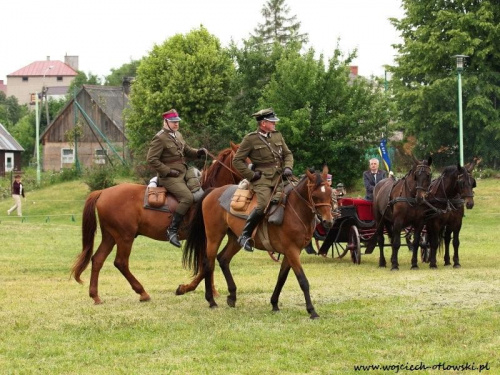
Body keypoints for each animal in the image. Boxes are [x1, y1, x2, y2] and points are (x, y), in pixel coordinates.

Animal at [71, 142, 244, 304]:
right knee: (121, 262)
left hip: (110, 236)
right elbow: (206, 264)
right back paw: (142, 292)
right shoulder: (204, 238)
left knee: (97, 259)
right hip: (124, 237)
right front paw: (186, 288)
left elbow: (207, 264)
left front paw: (211, 290)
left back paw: (95, 296)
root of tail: (103, 192)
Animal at [182, 170, 334, 320]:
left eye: (329, 193)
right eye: (315, 196)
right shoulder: (292, 251)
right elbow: (303, 281)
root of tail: (214, 191)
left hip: (235, 239)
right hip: (214, 236)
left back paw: (232, 296)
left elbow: (281, 278)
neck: (295, 210)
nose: (328, 222)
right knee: (209, 264)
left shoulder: (290, 253)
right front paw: (312, 311)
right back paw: (211, 300)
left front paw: (274, 304)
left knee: (223, 259)